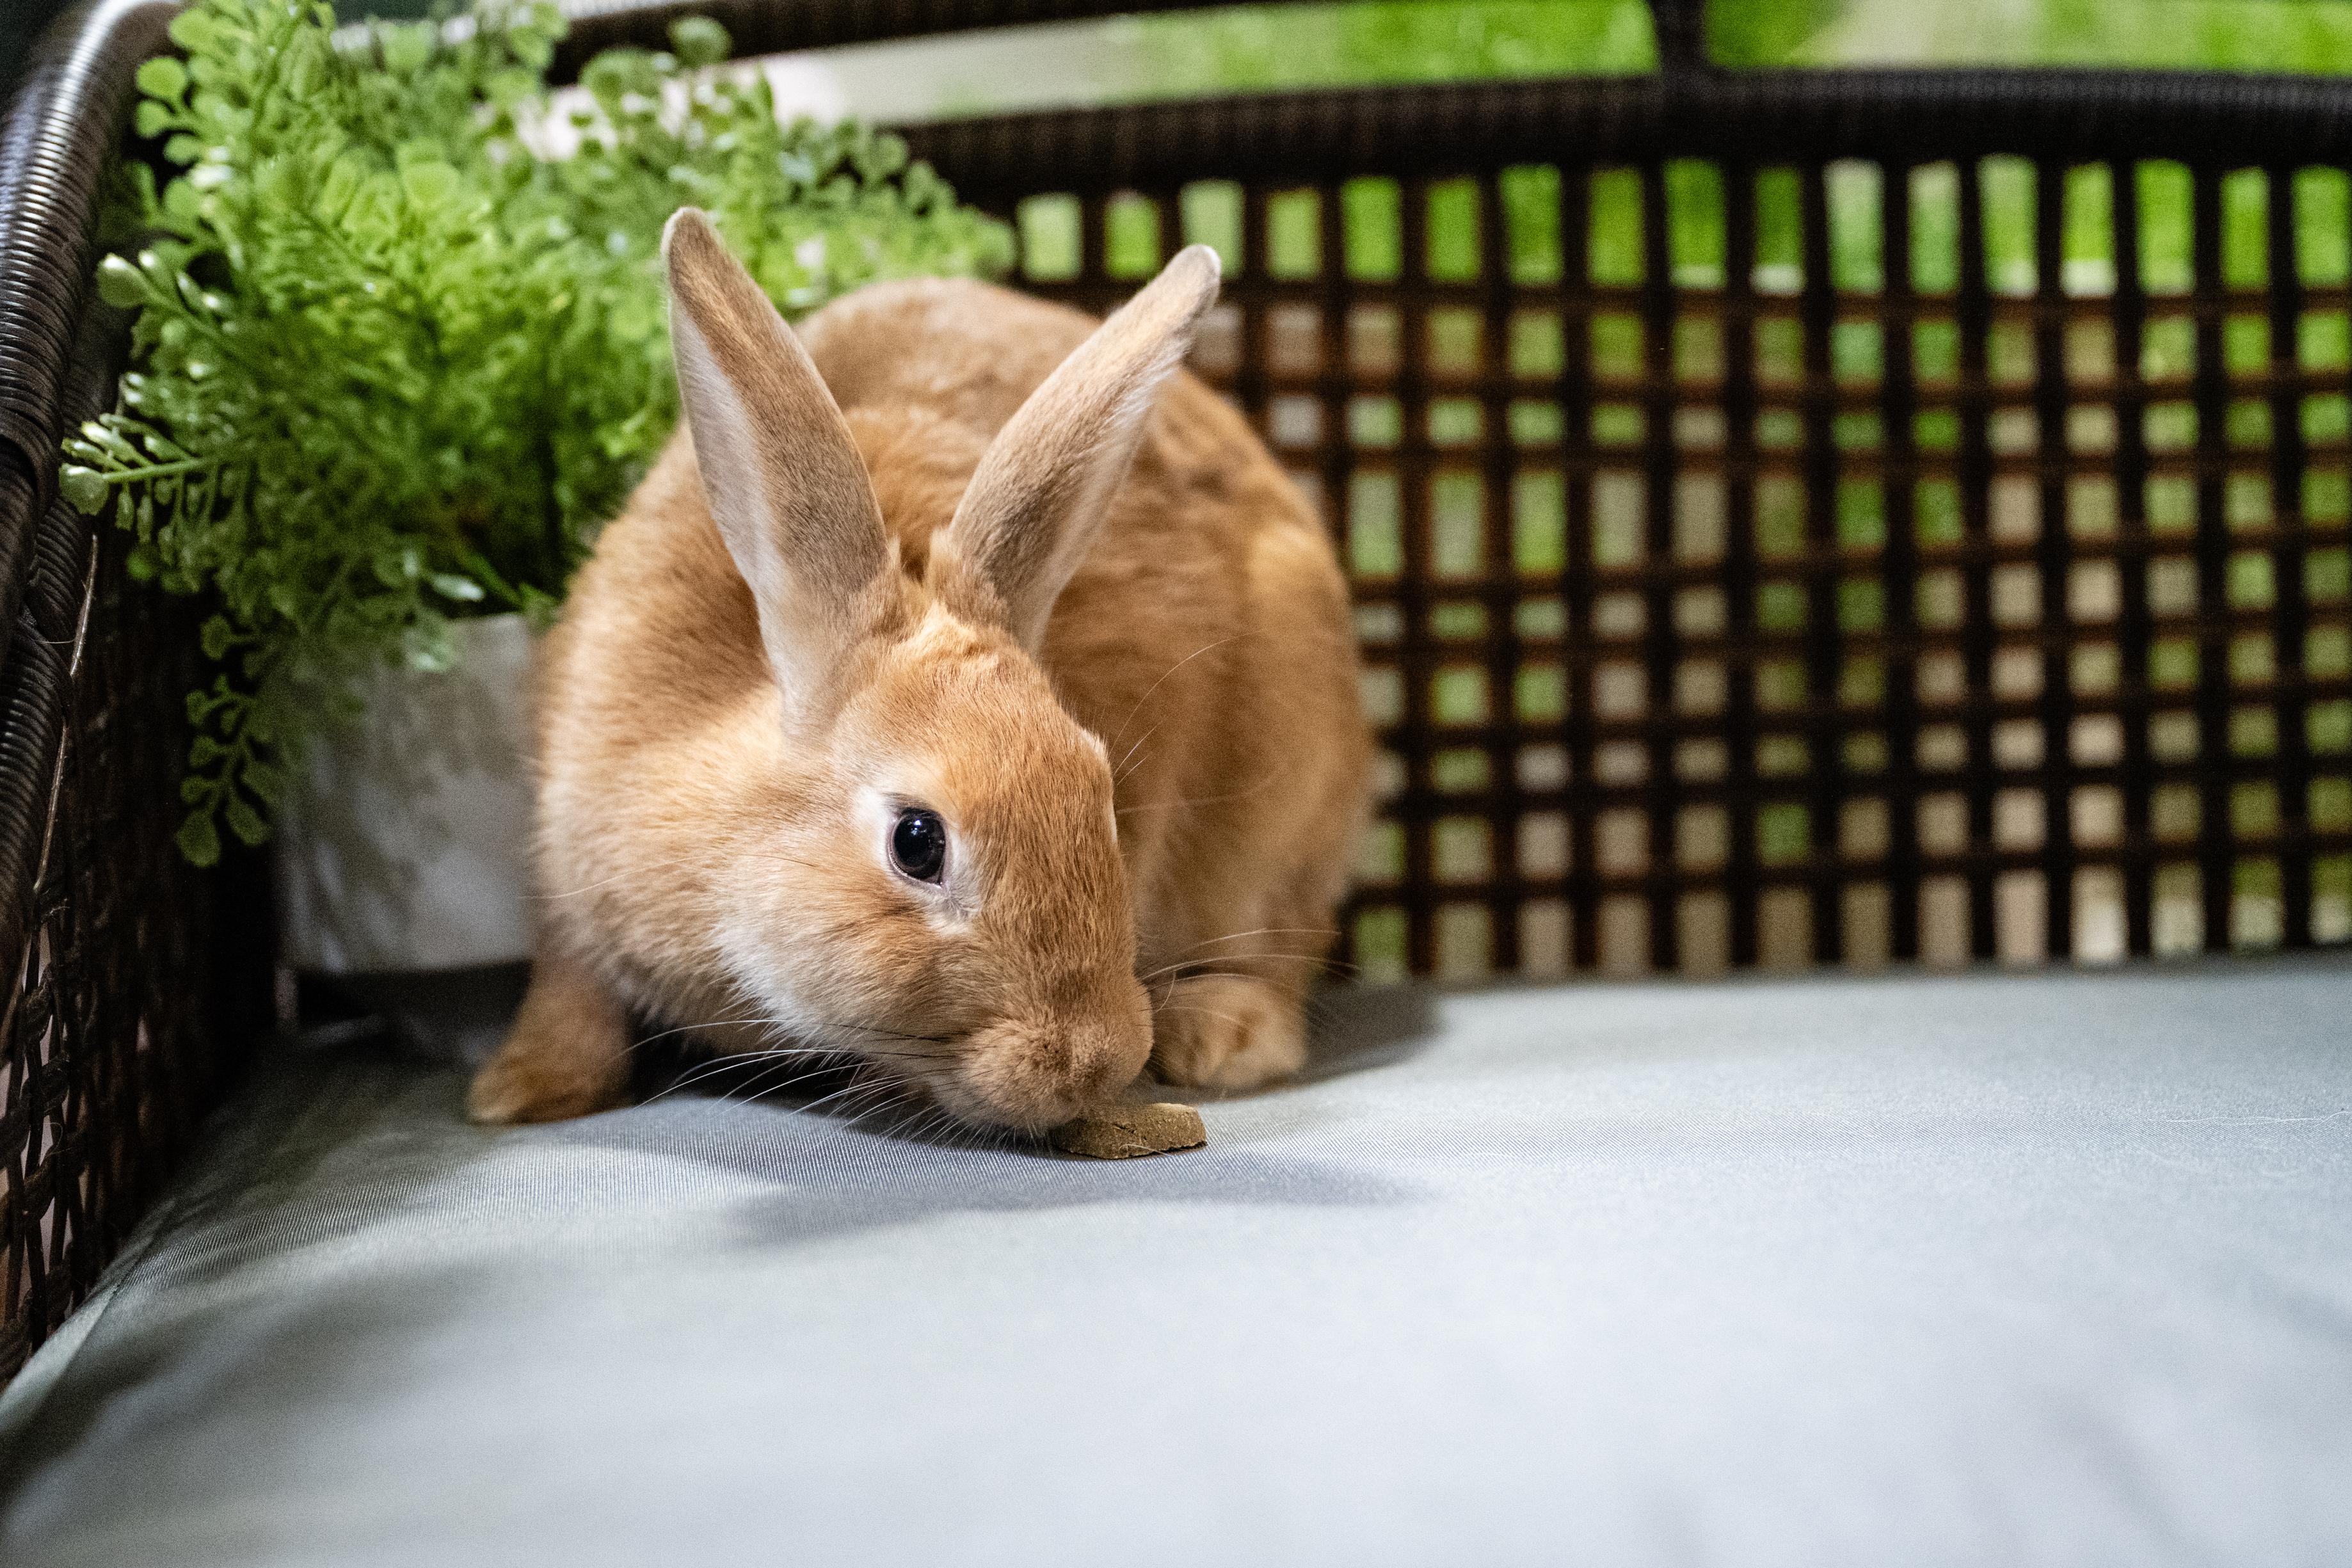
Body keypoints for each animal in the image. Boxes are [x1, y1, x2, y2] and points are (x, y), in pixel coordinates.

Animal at [466, 207, 1371, 1134]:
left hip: (1287, 802)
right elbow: (569, 986)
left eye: (1106, 802)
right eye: (917, 840)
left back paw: (1222, 1034)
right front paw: (521, 1092)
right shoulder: (564, 875)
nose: (1096, 1060)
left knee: (1285, 940)